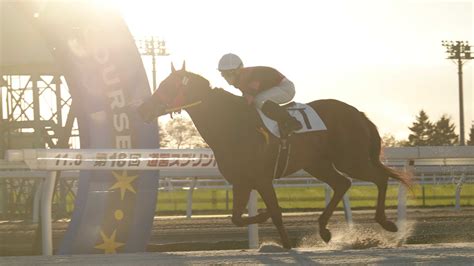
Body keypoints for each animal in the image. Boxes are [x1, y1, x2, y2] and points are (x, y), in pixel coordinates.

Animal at [136, 63, 412, 248]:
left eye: (168, 86)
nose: (143, 109)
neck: (232, 126)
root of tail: (358, 113)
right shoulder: (241, 181)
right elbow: (236, 218)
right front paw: (264, 218)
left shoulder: (262, 178)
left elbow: (277, 213)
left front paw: (286, 243)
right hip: (317, 164)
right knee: (342, 183)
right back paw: (324, 230)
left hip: (351, 159)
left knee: (379, 179)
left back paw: (386, 223)